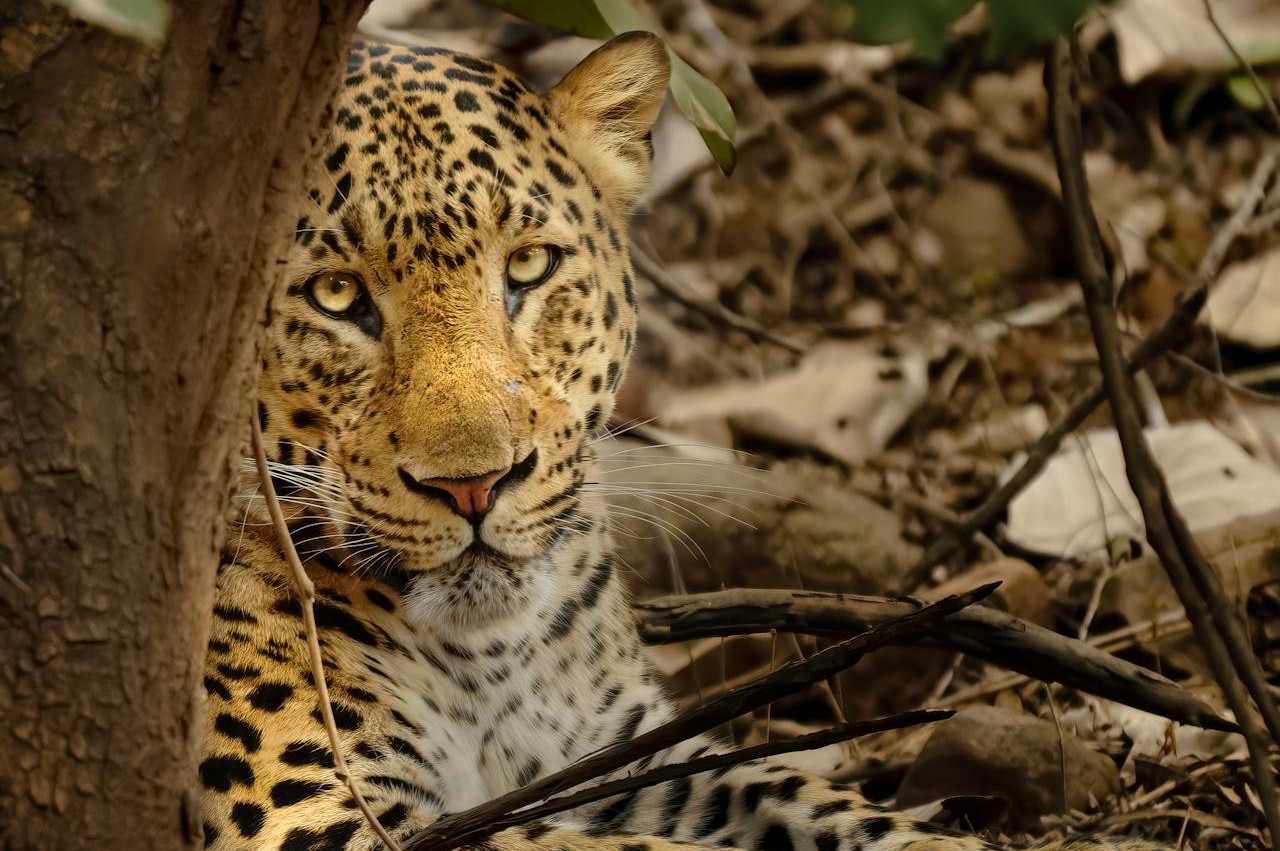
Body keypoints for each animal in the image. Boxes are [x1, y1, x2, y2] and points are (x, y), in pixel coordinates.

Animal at [200, 31, 1163, 851]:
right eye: (335, 294)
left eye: (527, 267)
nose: (475, 486)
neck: (488, 659)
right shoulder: (315, 816)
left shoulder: (627, 755)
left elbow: (814, 799)